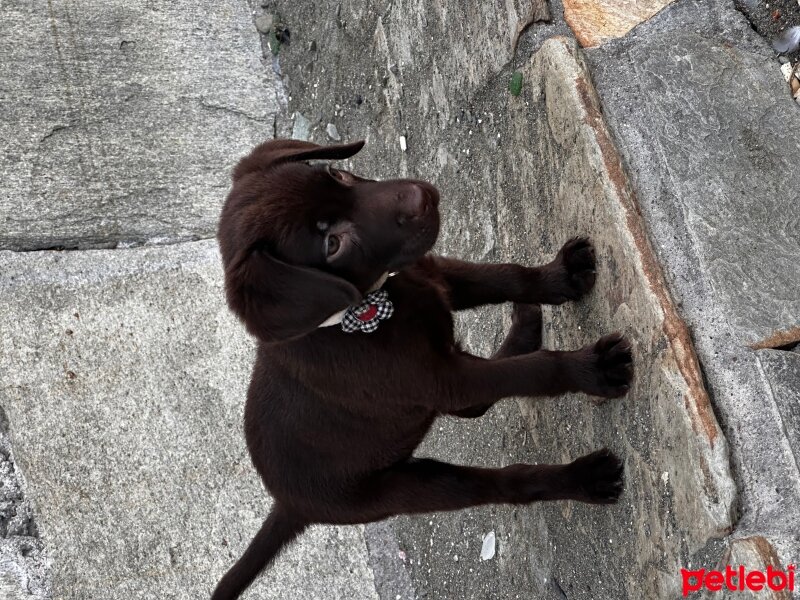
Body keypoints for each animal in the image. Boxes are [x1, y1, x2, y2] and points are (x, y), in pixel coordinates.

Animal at [212, 138, 632, 596]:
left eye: (336, 174)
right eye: (332, 245)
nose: (420, 197)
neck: (367, 305)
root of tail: (287, 504)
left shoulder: (435, 275)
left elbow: (508, 277)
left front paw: (560, 276)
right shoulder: (446, 379)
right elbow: (532, 372)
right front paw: (594, 368)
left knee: (476, 402)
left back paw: (525, 326)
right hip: (407, 488)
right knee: (499, 477)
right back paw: (585, 478)